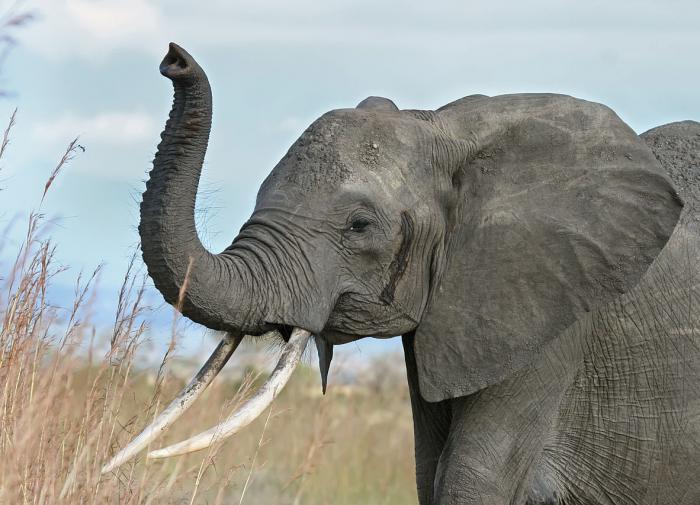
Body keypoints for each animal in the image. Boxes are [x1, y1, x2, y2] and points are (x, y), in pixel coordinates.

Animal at [100, 44, 700, 504]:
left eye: (361, 226)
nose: (173, 59)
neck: (447, 128)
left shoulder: (550, 320)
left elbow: (468, 483)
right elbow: (428, 474)